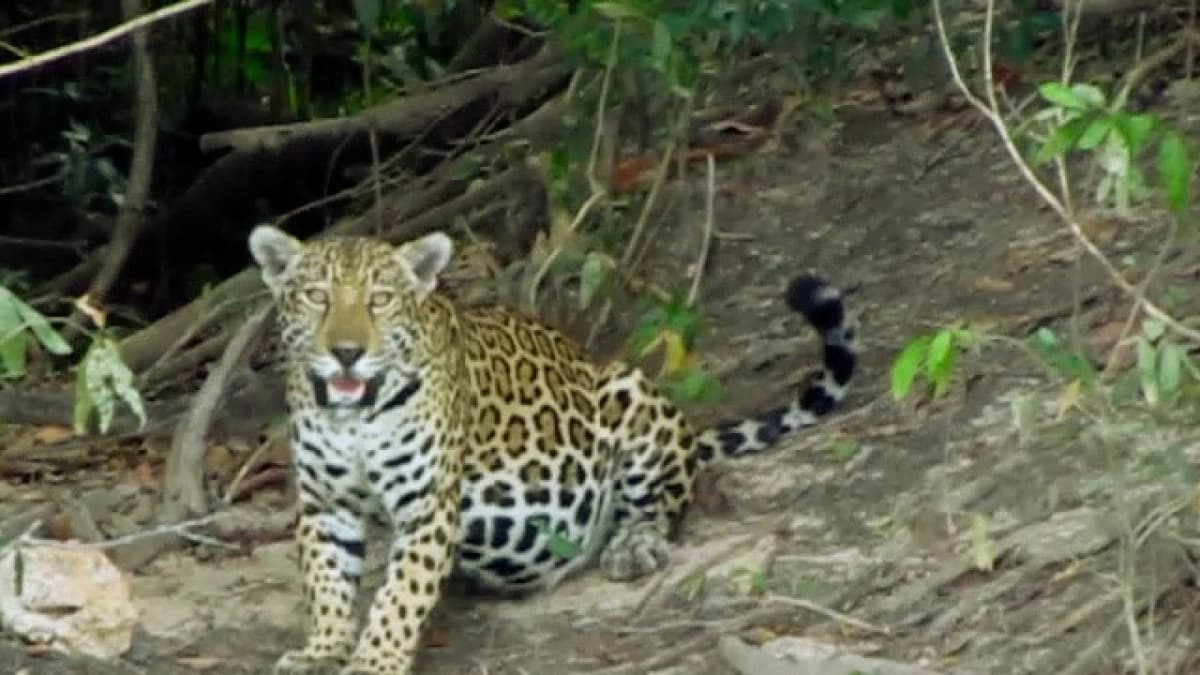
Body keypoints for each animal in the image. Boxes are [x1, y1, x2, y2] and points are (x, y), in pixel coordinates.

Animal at [249, 224, 858, 675]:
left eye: (380, 301)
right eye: (317, 298)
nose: (347, 353)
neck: (352, 417)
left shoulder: (427, 505)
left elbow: (400, 595)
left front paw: (375, 660)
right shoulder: (325, 505)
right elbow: (326, 583)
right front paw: (324, 650)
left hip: (630, 394)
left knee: (663, 503)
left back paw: (634, 545)